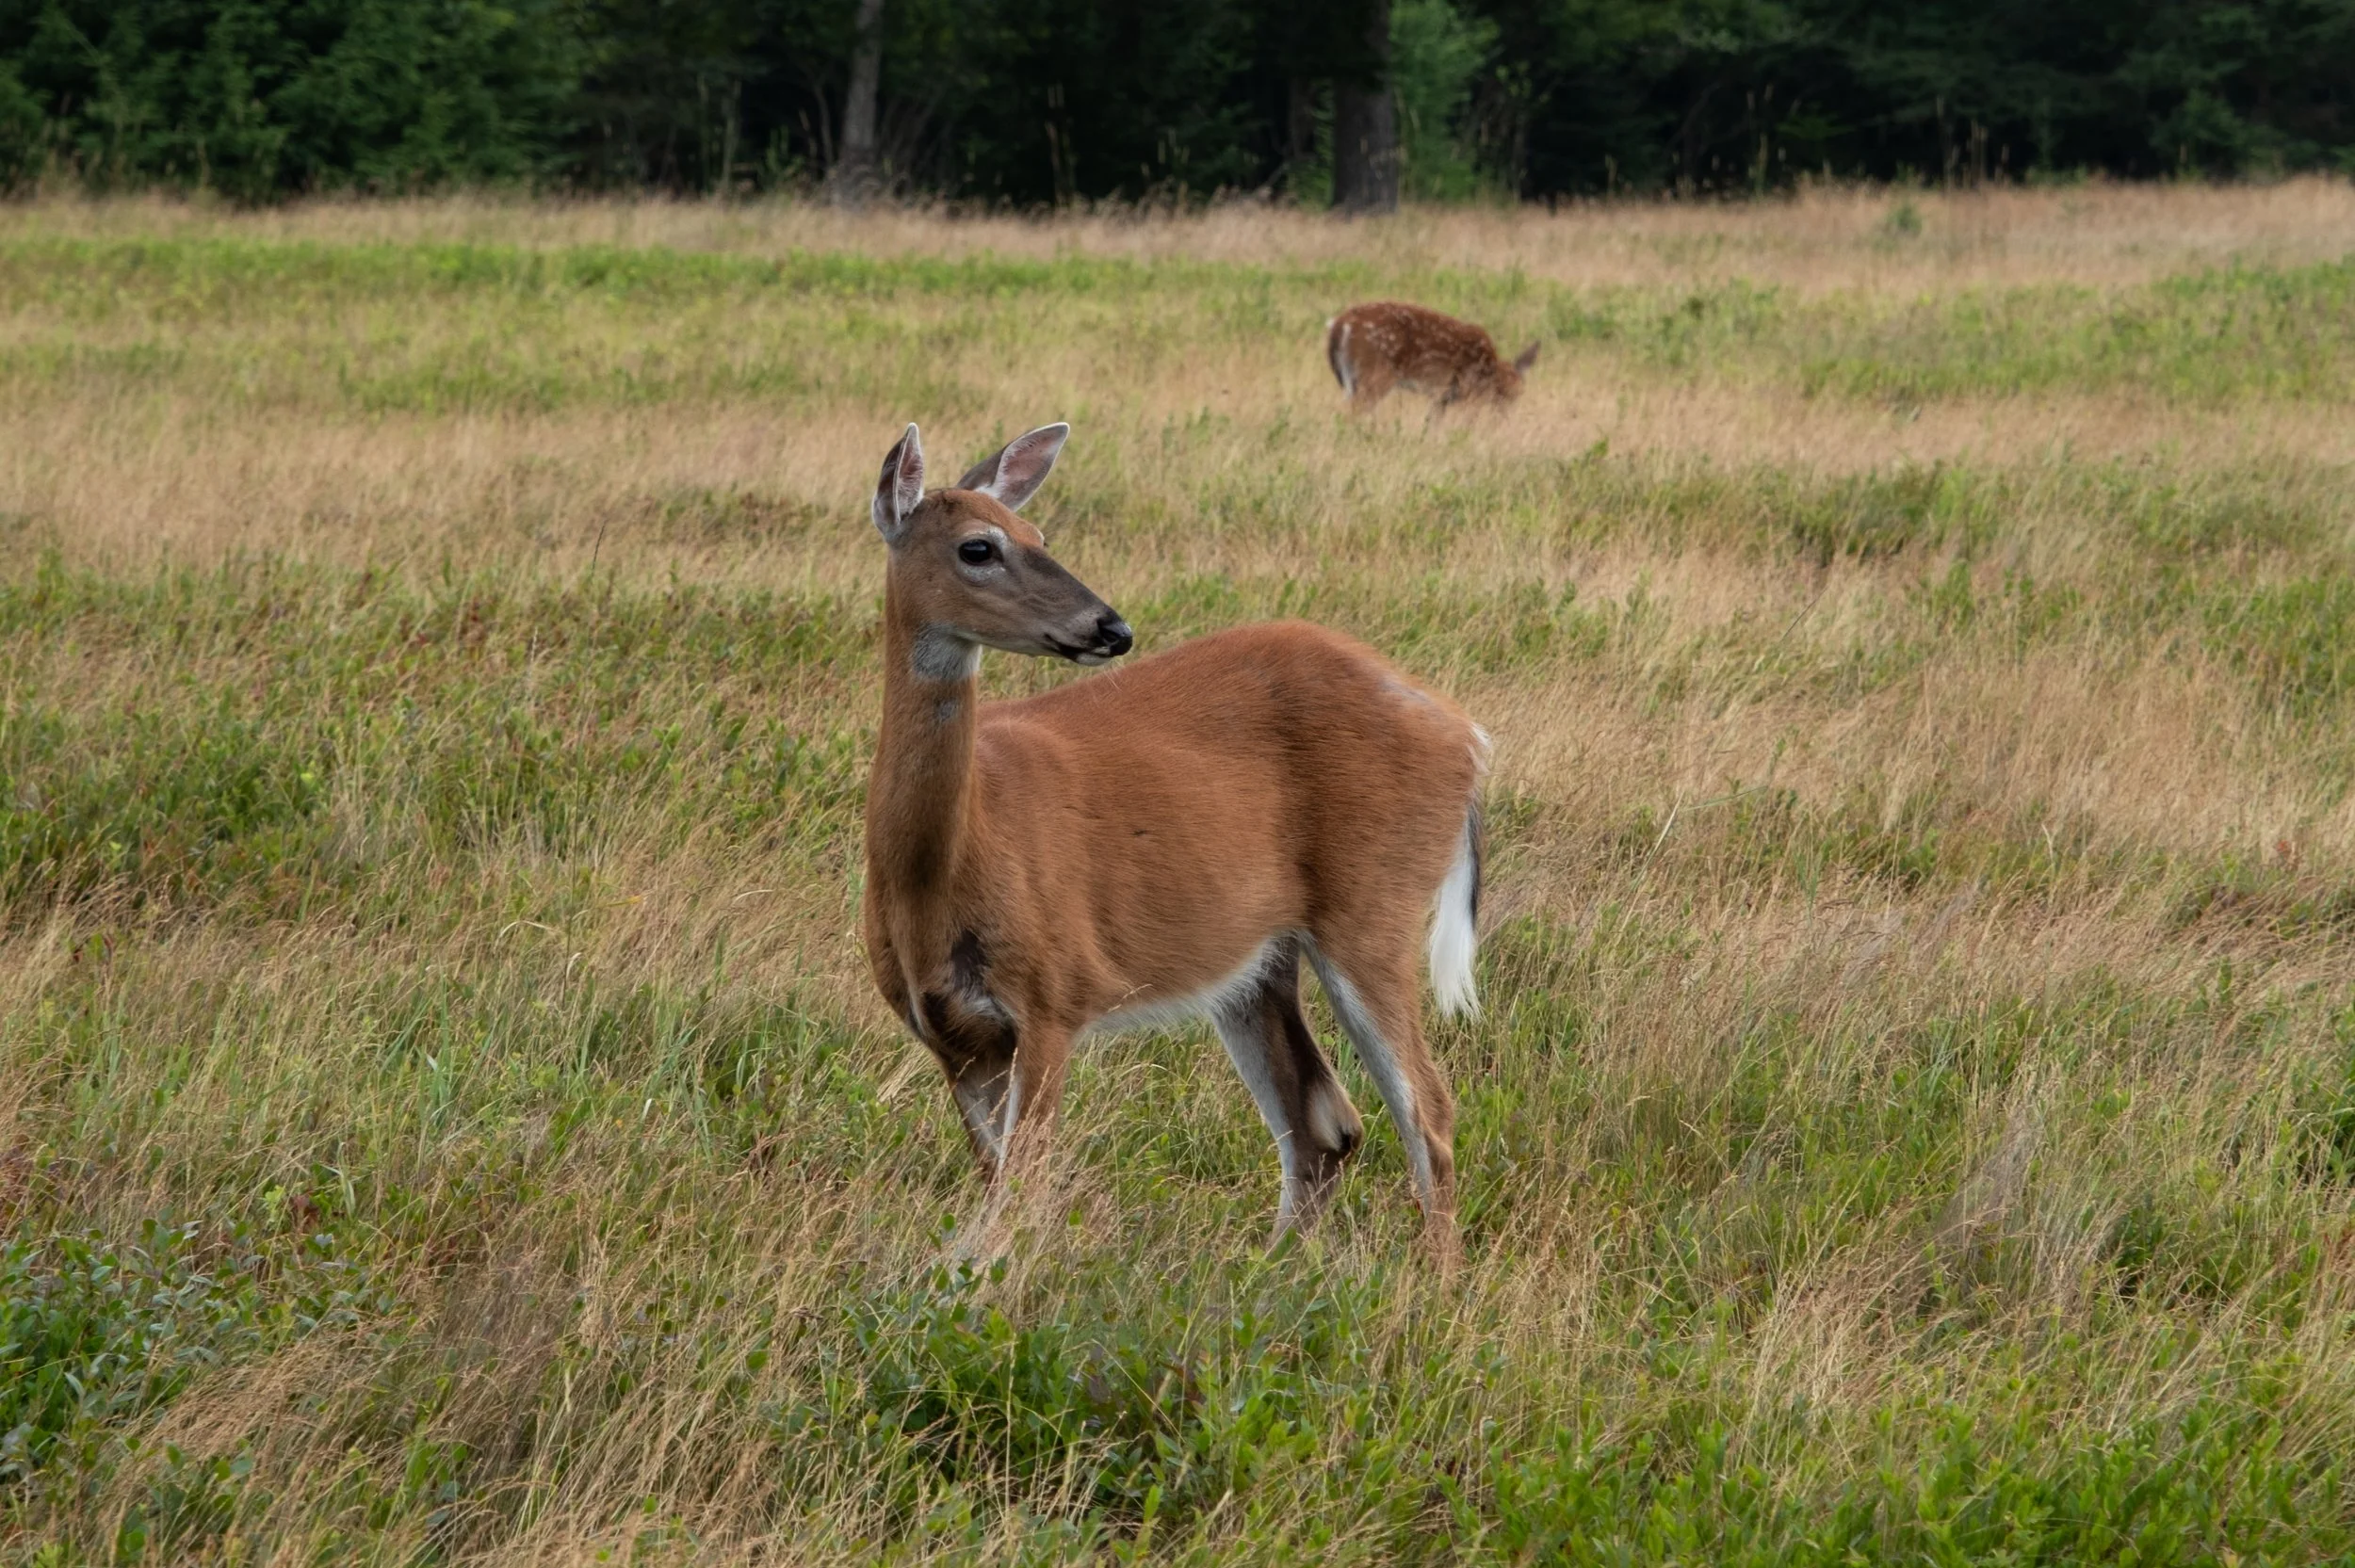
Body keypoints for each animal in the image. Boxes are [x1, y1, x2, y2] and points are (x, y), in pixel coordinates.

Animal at [860, 420, 1489, 1262]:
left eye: (1041, 535)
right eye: (978, 547)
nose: (1111, 627)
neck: (941, 869)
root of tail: (1468, 736)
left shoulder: (1054, 993)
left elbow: (1022, 1190)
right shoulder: (950, 1036)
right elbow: (998, 1184)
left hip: (1374, 906)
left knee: (1428, 1109)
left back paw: (1433, 1281)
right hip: (1258, 961)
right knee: (1326, 1122)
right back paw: (1271, 1270)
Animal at [1325, 301, 1540, 414]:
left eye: (1521, 391)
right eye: (1505, 393)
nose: (1506, 415)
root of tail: (1340, 324)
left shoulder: (1442, 397)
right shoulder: (1467, 392)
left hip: (1350, 378)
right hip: (1375, 373)